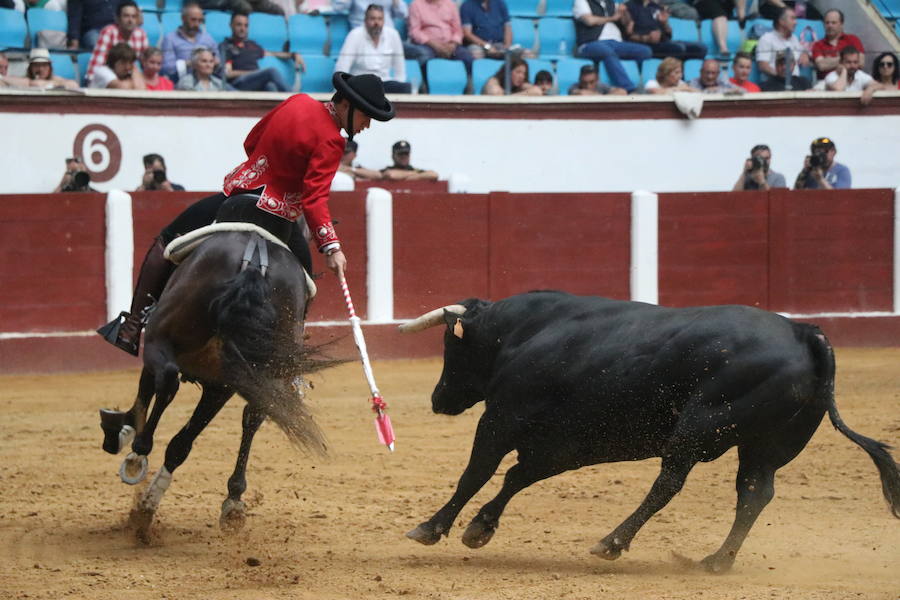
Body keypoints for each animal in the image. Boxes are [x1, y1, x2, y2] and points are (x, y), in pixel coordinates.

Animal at [98, 220, 336, 540]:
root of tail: (255, 258)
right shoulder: (224, 385)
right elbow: (185, 441)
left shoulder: (162, 353)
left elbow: (147, 392)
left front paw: (125, 431)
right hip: (249, 371)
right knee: (247, 416)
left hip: (164, 339)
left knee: (169, 382)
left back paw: (138, 457)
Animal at [400, 290, 900, 572]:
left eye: (450, 345)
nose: (438, 399)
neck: (526, 331)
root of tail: (804, 333)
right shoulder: (567, 443)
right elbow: (516, 477)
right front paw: (479, 528)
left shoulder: (500, 420)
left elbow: (477, 473)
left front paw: (431, 527)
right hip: (765, 445)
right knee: (755, 493)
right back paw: (715, 562)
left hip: (698, 428)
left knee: (670, 483)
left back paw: (613, 542)